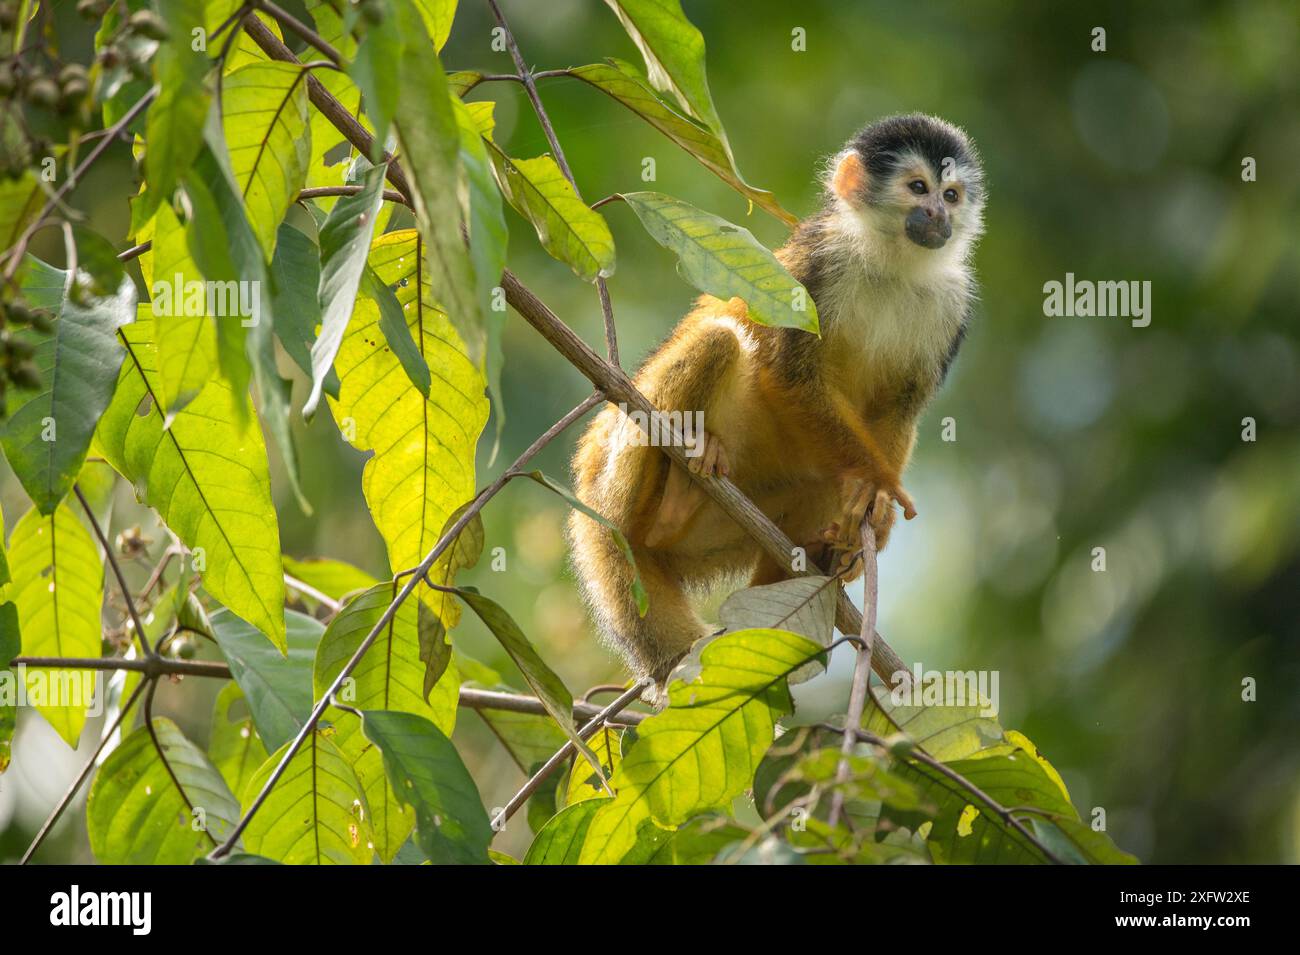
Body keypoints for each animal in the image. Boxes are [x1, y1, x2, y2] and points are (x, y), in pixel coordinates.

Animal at [569, 113, 982, 696]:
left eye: (951, 194)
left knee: (818, 482)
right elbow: (789, 371)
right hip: (614, 472)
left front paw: (873, 520)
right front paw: (878, 485)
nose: (940, 217)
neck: (889, 263)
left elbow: (900, 409)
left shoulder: (953, 305)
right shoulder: (817, 260)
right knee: (718, 340)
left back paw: (819, 557)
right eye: (918, 187)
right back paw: (669, 499)